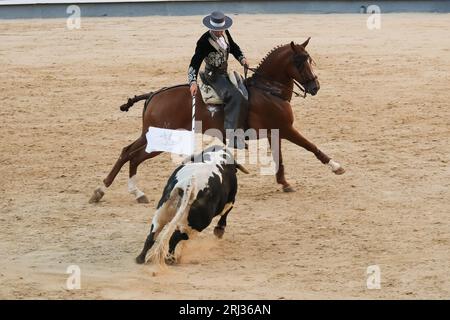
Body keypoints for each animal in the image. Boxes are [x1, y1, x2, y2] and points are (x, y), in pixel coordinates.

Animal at [89, 37, 346, 202]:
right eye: (300, 61)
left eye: (310, 59)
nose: (315, 87)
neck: (268, 90)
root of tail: (154, 94)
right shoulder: (286, 129)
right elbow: (311, 146)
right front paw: (336, 166)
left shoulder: (276, 132)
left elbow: (279, 158)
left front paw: (284, 183)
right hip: (162, 139)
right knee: (131, 156)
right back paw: (113, 191)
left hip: (152, 136)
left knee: (128, 153)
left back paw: (120, 191)